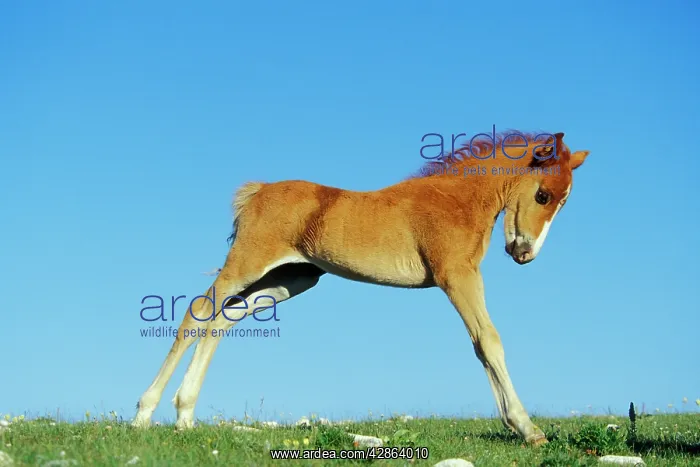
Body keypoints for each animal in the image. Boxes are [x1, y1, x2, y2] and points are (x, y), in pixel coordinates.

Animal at [132, 130, 590, 446]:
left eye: (564, 200)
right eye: (544, 194)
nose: (525, 253)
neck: (456, 199)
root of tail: (258, 191)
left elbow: (482, 344)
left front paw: (514, 424)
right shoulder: (456, 275)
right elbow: (488, 341)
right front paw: (527, 428)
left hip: (289, 279)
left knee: (223, 320)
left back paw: (185, 415)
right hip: (248, 263)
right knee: (197, 312)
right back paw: (144, 413)